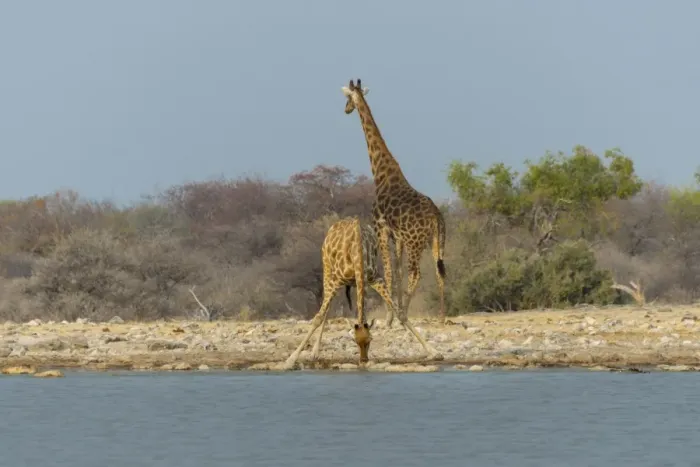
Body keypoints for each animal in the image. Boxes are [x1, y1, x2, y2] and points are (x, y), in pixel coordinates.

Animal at [341, 79, 447, 356]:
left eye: (347, 98)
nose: (346, 110)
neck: (381, 173)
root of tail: (436, 216)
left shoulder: (381, 228)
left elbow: (389, 273)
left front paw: (390, 316)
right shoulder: (396, 236)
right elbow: (396, 273)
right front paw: (394, 311)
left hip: (415, 242)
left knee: (416, 273)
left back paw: (404, 314)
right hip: (437, 240)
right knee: (439, 271)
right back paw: (443, 315)